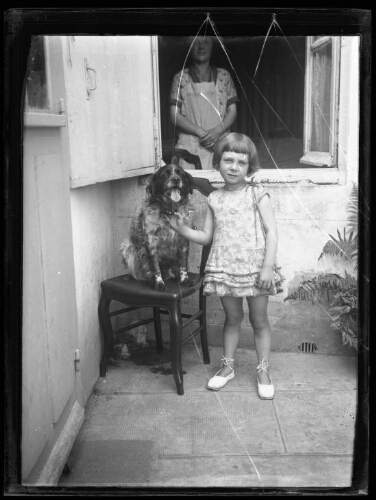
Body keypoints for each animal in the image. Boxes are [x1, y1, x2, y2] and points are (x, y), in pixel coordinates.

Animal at [120, 158, 195, 292]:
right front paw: (158, 283)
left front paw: (184, 279)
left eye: (180, 173)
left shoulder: (184, 239)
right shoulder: (151, 241)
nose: (176, 179)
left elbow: (183, 265)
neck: (170, 211)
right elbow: (155, 268)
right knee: (141, 273)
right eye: (165, 174)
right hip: (127, 247)